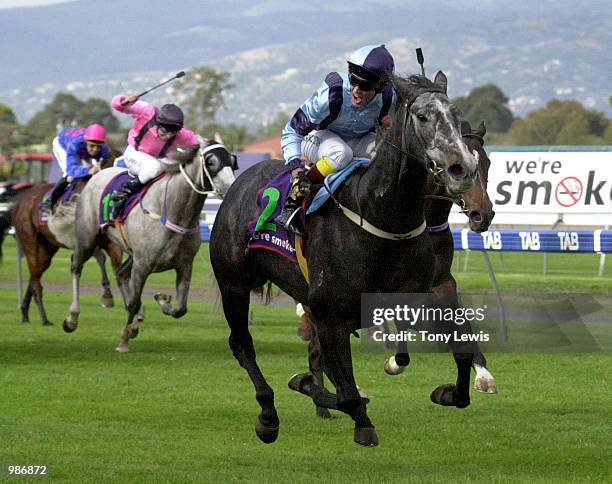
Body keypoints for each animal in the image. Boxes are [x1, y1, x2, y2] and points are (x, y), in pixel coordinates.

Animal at [61, 139, 234, 352]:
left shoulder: (184, 264)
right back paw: (72, 318)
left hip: (130, 254)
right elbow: (135, 302)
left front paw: (161, 299)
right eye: (211, 162)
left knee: (121, 273)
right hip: (87, 237)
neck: (171, 212)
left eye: (232, 161)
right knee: (76, 266)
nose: (231, 187)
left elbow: (180, 308)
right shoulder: (142, 265)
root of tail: (97, 175)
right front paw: (124, 340)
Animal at [210, 73, 478, 448]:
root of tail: (239, 182)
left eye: (456, 115)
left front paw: (449, 392)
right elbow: (348, 392)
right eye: (423, 116)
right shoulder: (330, 313)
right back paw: (268, 414)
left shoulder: (420, 295)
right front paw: (358, 420)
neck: (379, 215)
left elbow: (462, 351)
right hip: (233, 283)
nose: (461, 168)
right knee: (242, 345)